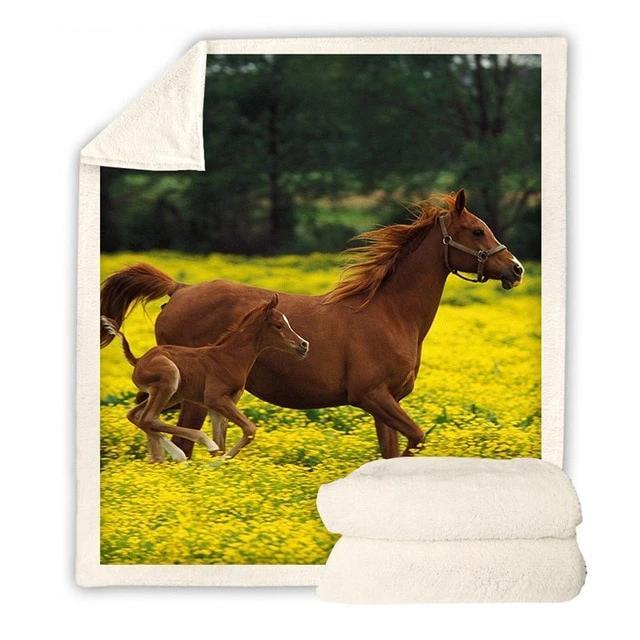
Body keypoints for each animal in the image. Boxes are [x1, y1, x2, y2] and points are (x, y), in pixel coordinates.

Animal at [100, 294, 309, 462]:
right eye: (279, 325)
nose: (304, 345)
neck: (230, 357)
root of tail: (138, 360)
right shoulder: (215, 399)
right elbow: (249, 429)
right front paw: (218, 461)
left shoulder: (220, 406)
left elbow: (223, 440)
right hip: (170, 380)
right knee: (149, 418)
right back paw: (189, 449)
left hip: (172, 394)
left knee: (136, 416)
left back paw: (165, 456)